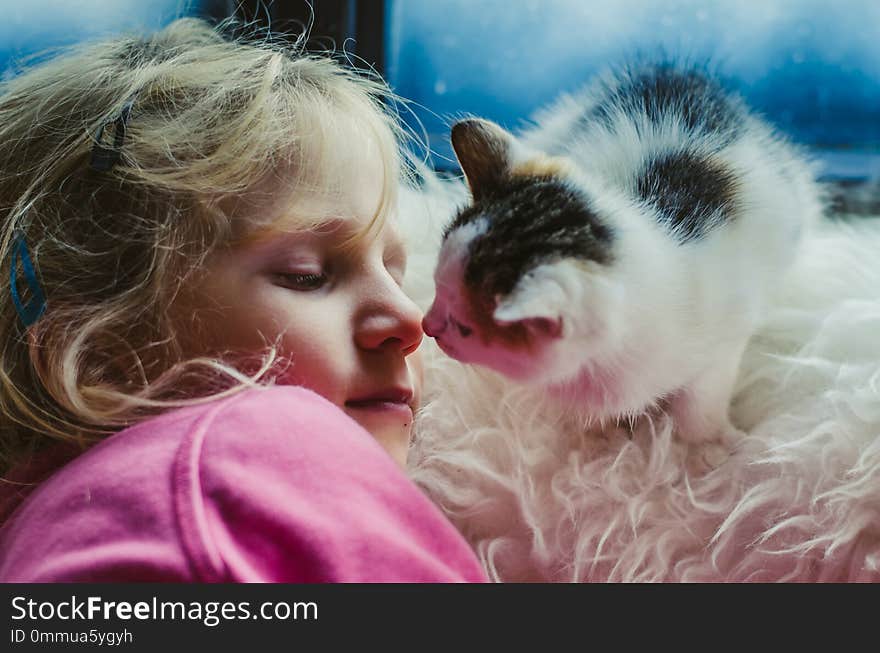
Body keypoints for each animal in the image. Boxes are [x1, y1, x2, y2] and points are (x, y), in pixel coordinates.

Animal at [422, 61, 820, 448]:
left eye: (464, 327)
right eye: (436, 287)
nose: (428, 326)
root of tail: (674, 70)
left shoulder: (725, 338)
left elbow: (699, 405)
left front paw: (716, 445)